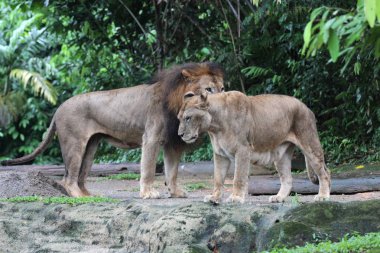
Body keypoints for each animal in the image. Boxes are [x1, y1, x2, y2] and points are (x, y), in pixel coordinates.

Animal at [1, 61, 224, 198]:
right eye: (208, 89)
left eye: (221, 88)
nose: (224, 97)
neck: (179, 102)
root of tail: (58, 109)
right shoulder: (151, 137)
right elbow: (149, 169)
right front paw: (148, 193)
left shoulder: (171, 143)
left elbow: (172, 172)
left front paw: (175, 192)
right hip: (75, 144)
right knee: (68, 179)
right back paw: (80, 198)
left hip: (91, 146)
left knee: (80, 177)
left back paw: (90, 196)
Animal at [177, 91, 330, 204]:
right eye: (179, 118)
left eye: (188, 118)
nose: (180, 135)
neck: (215, 127)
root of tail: (306, 107)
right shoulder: (220, 154)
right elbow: (218, 178)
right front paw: (214, 197)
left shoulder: (242, 150)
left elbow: (238, 177)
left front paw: (236, 198)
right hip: (281, 155)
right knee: (287, 179)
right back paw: (278, 198)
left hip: (309, 144)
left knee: (325, 172)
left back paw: (323, 196)